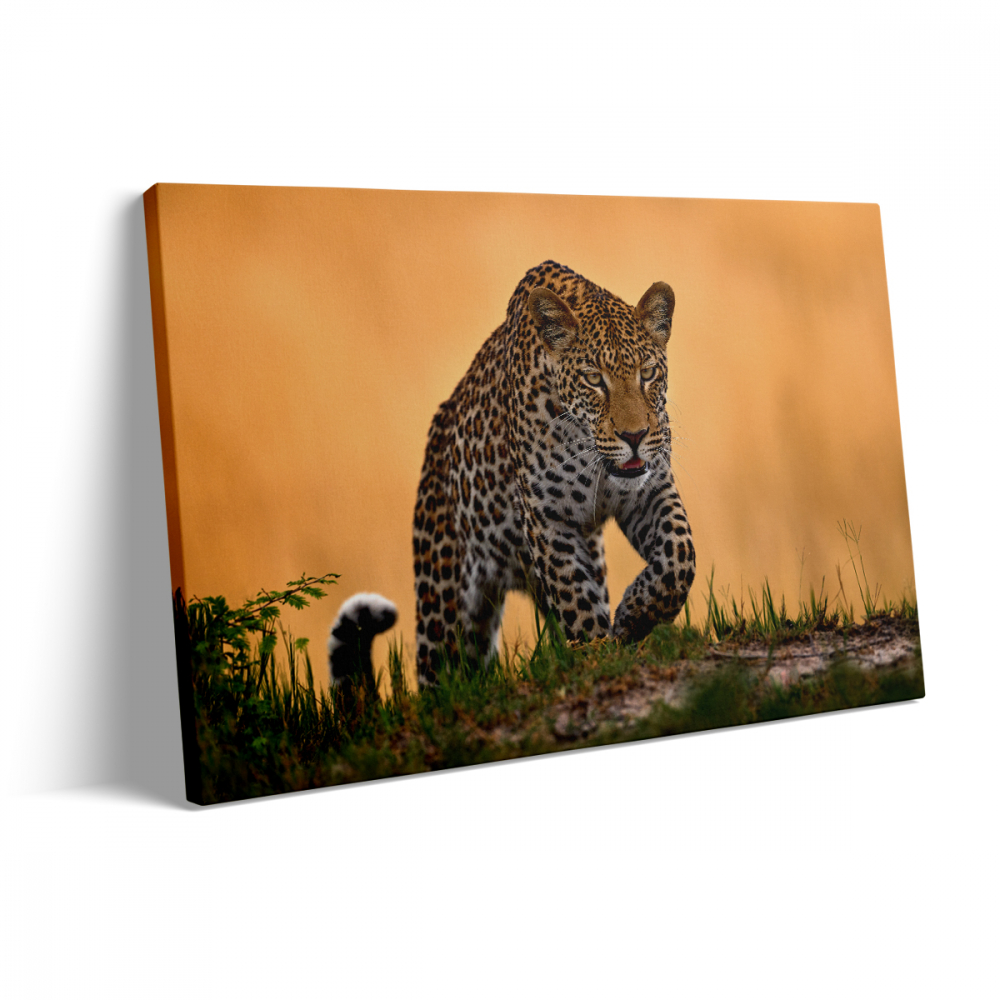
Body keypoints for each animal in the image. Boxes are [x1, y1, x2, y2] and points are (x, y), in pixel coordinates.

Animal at [329, 261, 695, 689]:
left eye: (648, 373)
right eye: (593, 379)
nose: (634, 436)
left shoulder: (650, 491)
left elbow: (679, 557)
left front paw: (635, 617)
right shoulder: (548, 518)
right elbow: (575, 598)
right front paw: (597, 656)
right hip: (442, 603)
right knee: (440, 673)